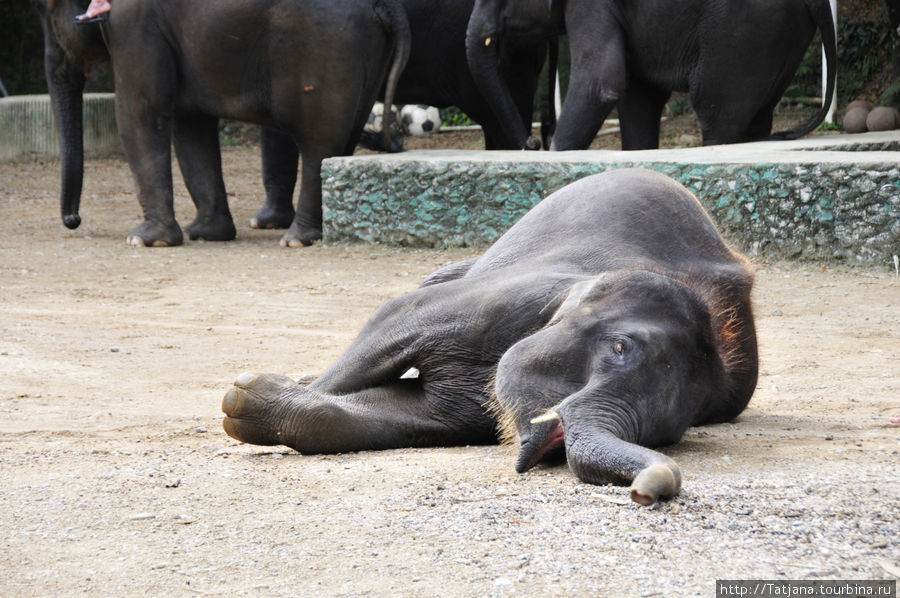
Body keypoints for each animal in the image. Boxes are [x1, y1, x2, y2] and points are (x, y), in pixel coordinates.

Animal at [32, 0, 408, 247]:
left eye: (45, 10)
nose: (73, 221)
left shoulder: (135, 26)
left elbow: (139, 113)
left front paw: (145, 240)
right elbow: (190, 124)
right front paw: (206, 234)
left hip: (326, 49)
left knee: (319, 143)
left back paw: (297, 240)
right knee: (343, 140)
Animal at [220, 170, 760, 506]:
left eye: (668, 434)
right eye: (621, 348)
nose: (647, 492)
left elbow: (417, 414)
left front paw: (252, 400)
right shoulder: (508, 297)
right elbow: (394, 318)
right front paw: (244, 393)